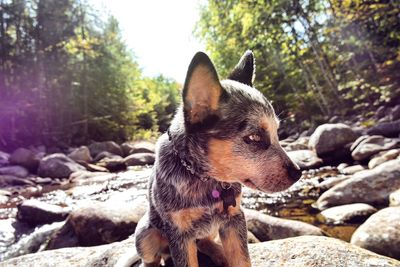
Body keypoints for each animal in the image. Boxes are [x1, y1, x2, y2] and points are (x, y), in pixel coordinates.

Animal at [134, 50, 300, 267]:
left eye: (277, 133)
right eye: (254, 137)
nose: (298, 173)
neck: (205, 179)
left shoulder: (235, 218)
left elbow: (242, 260)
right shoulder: (179, 234)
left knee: (204, 242)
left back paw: (219, 253)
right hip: (145, 234)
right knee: (151, 259)